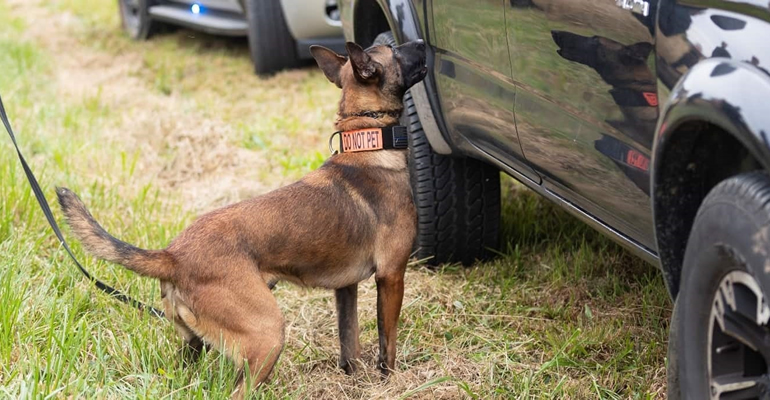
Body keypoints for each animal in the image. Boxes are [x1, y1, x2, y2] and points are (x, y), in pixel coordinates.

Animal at [55, 39, 426, 398]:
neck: (368, 143)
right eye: (394, 50)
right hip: (267, 333)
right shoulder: (391, 276)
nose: (423, 41)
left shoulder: (345, 289)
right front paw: (390, 383)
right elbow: (387, 343)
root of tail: (173, 256)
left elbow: (350, 344)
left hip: (194, 344)